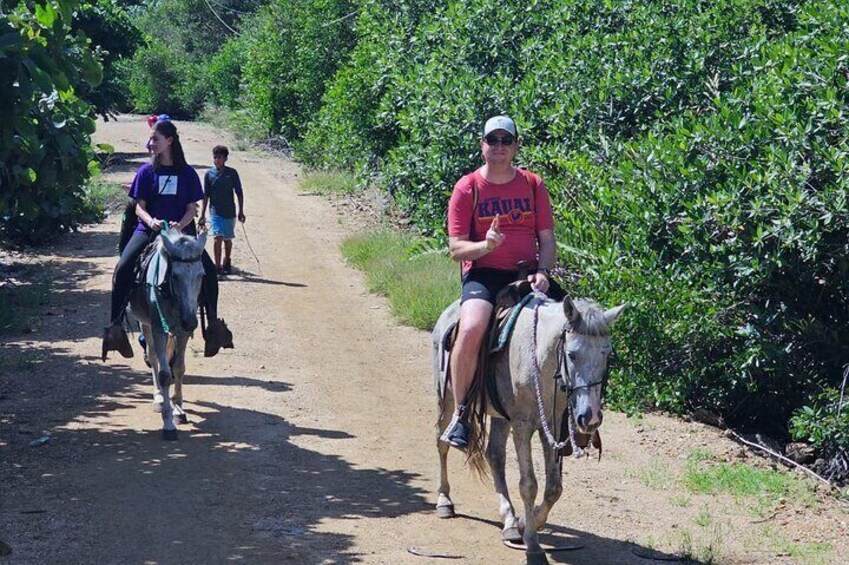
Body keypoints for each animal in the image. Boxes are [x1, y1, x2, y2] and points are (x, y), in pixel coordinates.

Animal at [127, 227, 207, 438]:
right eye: (176, 276)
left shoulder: (182, 333)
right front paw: (168, 424)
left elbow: (178, 368)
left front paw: (178, 410)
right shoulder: (158, 328)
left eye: (202, 275)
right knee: (153, 356)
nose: (191, 322)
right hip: (145, 324)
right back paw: (159, 399)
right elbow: (164, 374)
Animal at [430, 296, 624, 564]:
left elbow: (554, 488)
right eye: (572, 355)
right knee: (442, 443)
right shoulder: (522, 426)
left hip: (501, 417)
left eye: (606, 355)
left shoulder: (550, 425)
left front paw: (524, 523)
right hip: (447, 398)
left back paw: (510, 520)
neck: (540, 361)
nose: (591, 417)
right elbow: (528, 485)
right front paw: (533, 545)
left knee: (495, 456)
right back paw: (444, 501)